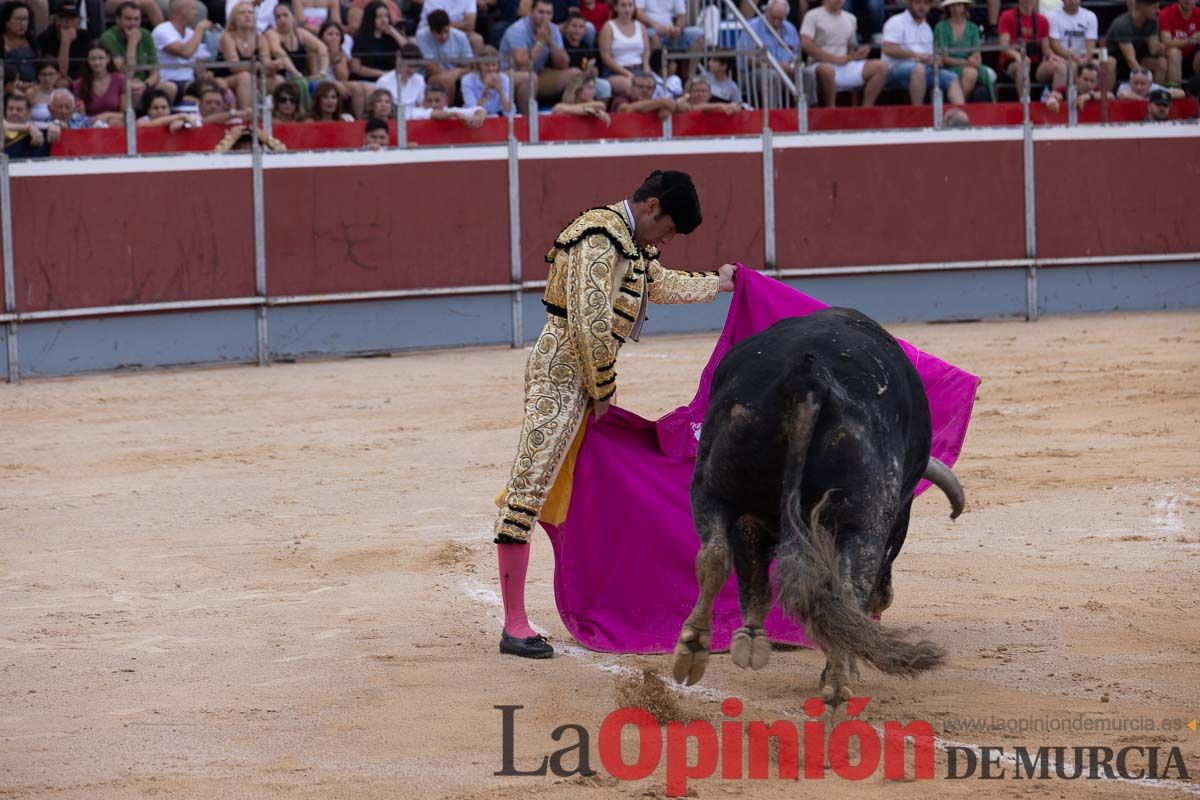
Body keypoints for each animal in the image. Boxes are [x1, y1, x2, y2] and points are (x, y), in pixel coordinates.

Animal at [676, 309, 964, 705]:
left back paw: (702, 645)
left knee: (715, 554)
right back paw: (838, 679)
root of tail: (809, 377)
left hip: (714, 483)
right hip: (863, 521)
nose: (885, 598)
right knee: (847, 592)